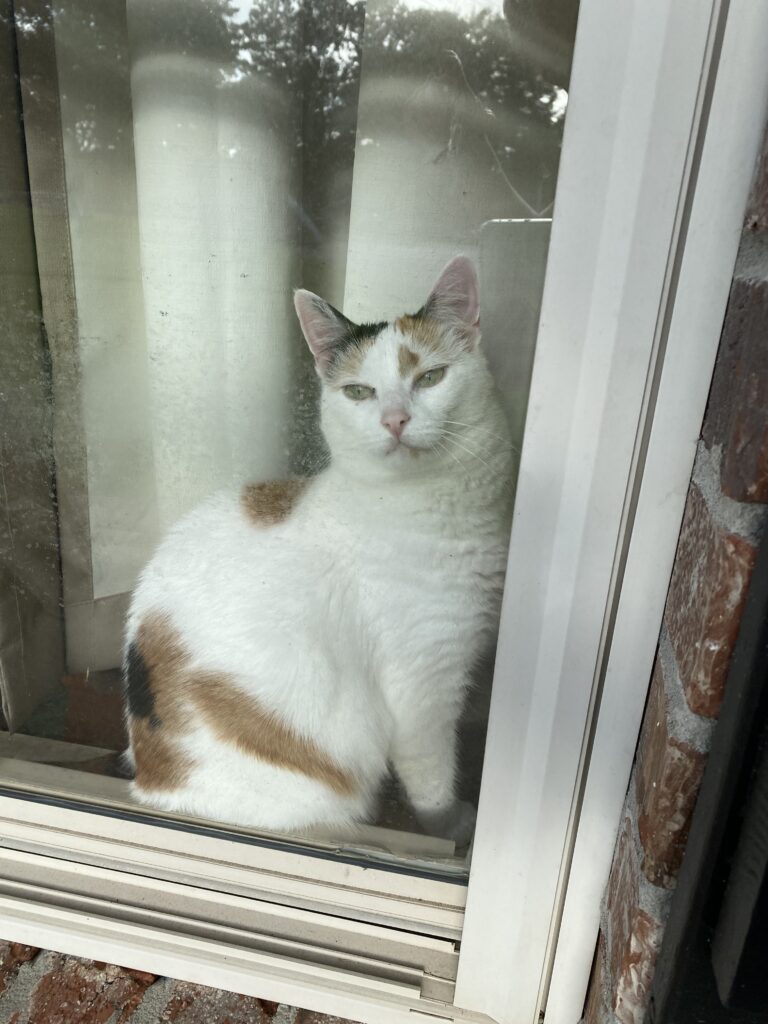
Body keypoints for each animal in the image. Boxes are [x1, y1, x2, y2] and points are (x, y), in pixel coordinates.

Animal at [123, 256, 514, 839]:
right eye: (359, 393)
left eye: (429, 377)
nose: (395, 420)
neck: (433, 505)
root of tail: (150, 789)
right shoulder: (421, 685)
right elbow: (432, 775)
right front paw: (449, 828)